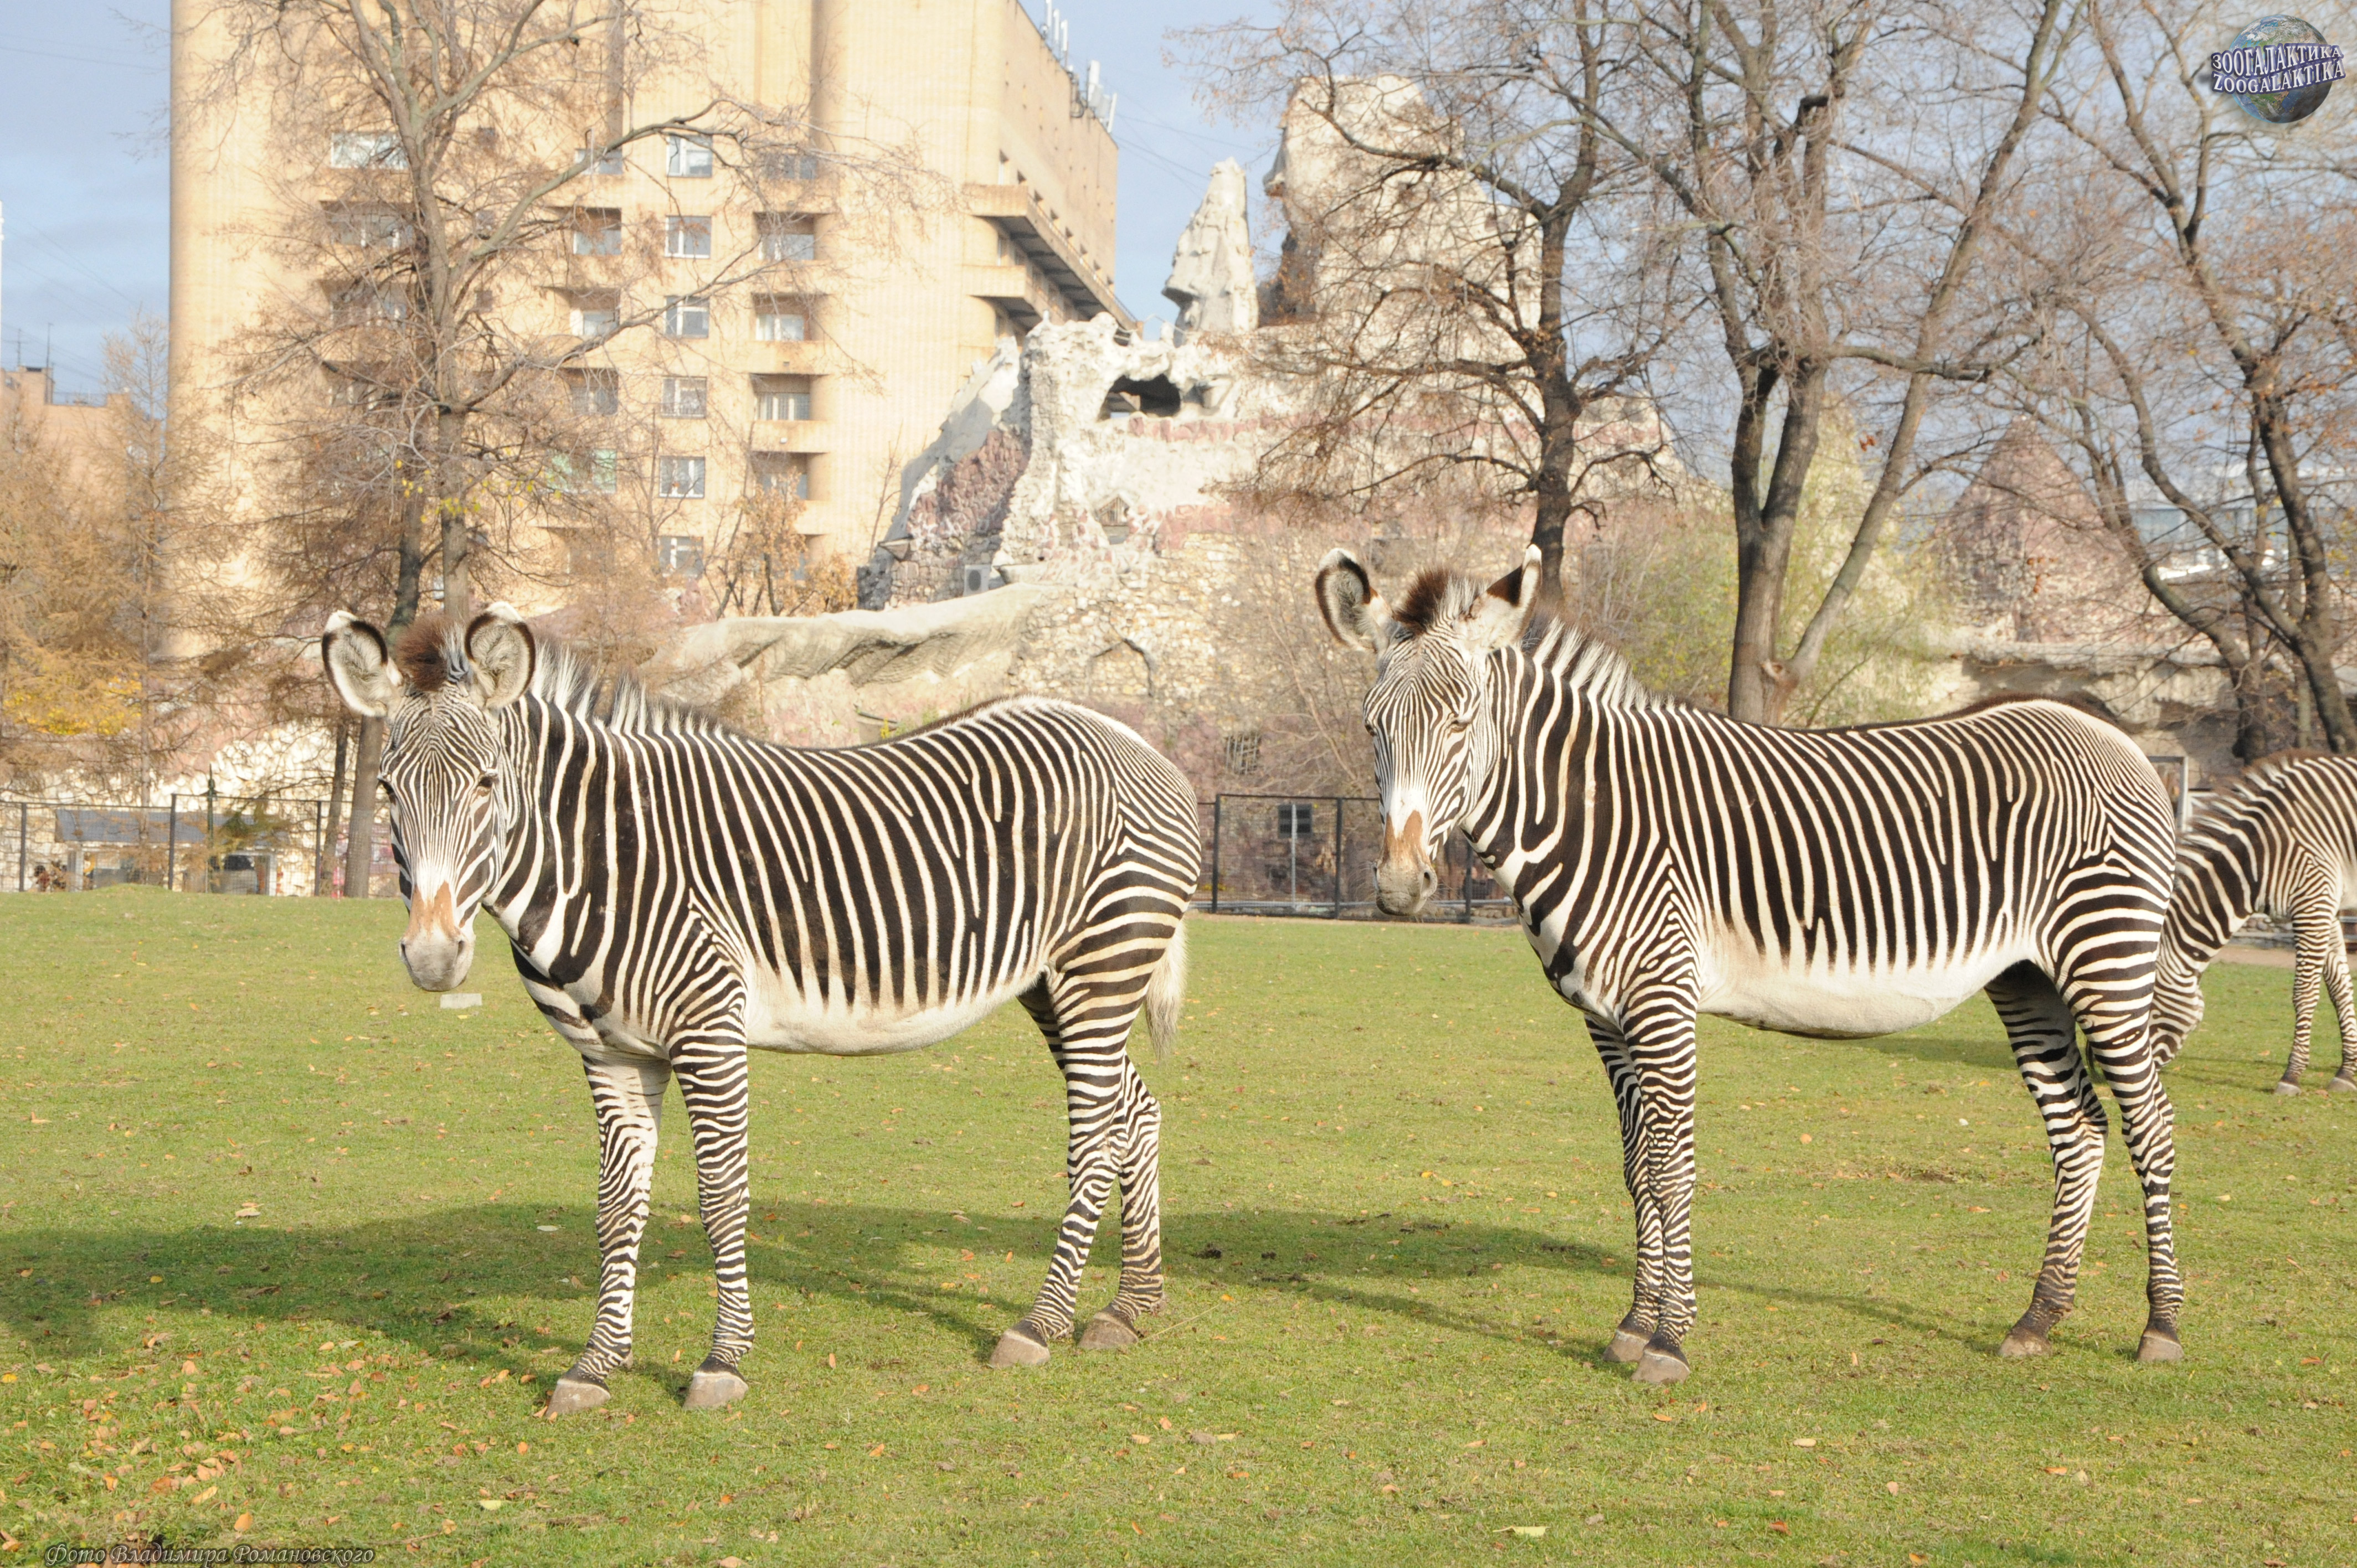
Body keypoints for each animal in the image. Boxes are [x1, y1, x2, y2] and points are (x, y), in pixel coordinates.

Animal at [322, 605, 1198, 1413]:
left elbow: (720, 1196)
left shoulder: (708, 1035)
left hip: (1101, 965)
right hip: (1056, 985)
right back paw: (1130, 1306)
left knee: (1094, 1139)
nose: (433, 959)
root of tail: (1129, 737)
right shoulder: (611, 1054)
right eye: (388, 792)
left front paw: (722, 1361)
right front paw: (596, 1365)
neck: (601, 858)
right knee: (1136, 1114)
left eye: (486, 786)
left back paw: (1039, 1323)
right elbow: (615, 1207)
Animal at [1316, 546, 2185, 1384]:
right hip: (2028, 978)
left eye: (1462, 723)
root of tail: (2111, 735)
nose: (1398, 886)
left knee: (2151, 1126)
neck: (1590, 815)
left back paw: (2161, 1327)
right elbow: (1637, 1165)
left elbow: (1672, 1167)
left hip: (2107, 958)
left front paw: (1669, 1342)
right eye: (1370, 727)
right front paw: (1631, 1326)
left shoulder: (1662, 999)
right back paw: (2039, 1319)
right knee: (2081, 1128)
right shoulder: (1605, 1017)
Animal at [2151, 752, 2357, 1094]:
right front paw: (2347, 1072)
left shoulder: (2313, 905)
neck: (2259, 859)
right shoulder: (2325, 908)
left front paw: (2291, 1076)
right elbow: (2339, 987)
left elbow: (2305, 992)